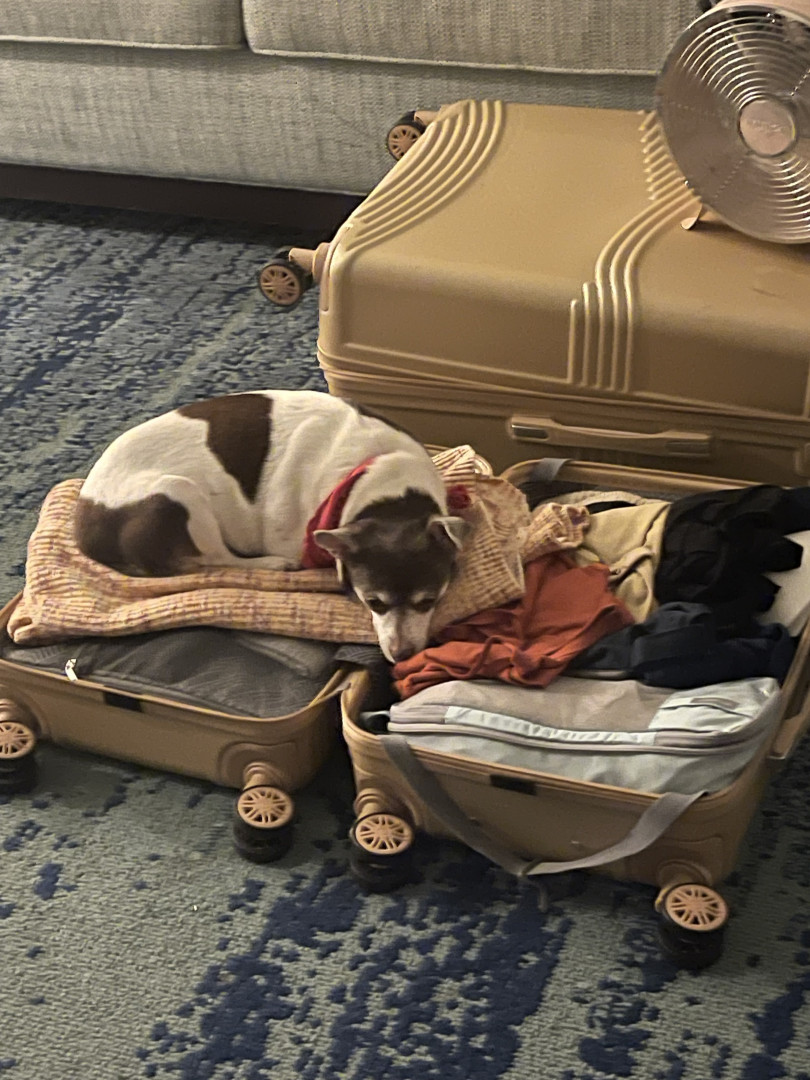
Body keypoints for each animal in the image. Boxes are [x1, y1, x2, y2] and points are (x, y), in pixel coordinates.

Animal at [74, 389, 469, 662]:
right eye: (373, 602)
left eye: (429, 601)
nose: (403, 655)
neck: (379, 478)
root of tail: (84, 529)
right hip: (177, 493)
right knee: (217, 560)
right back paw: (271, 565)